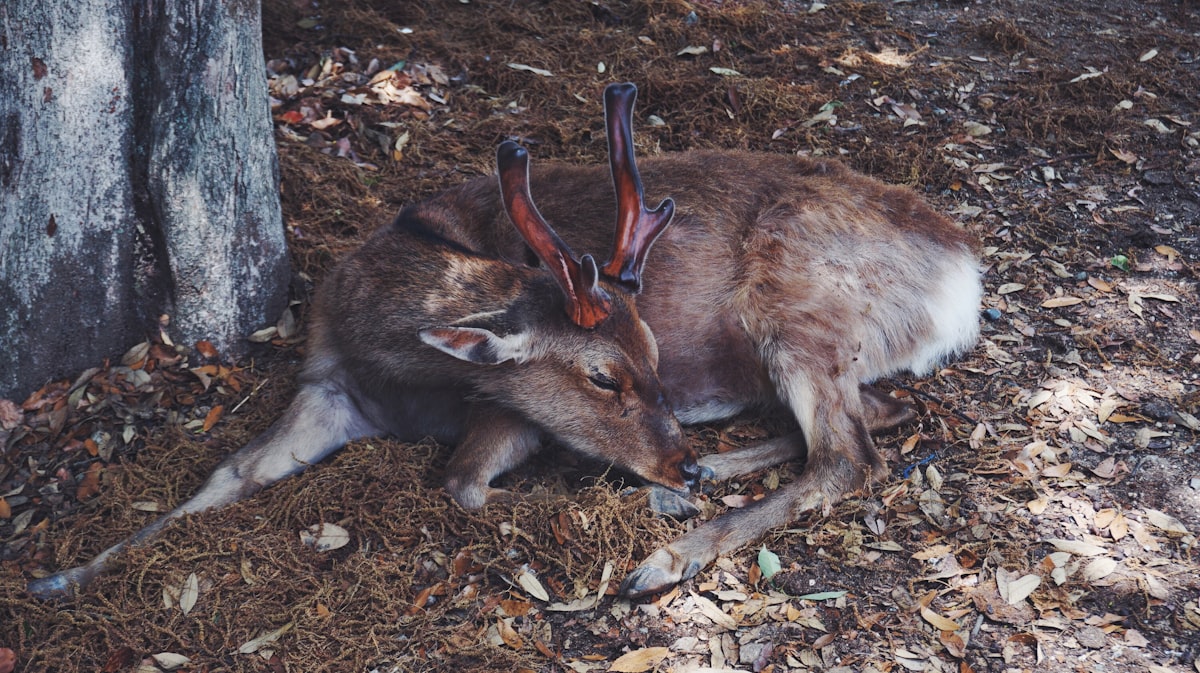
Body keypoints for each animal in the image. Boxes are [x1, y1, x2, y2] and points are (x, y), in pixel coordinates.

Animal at [28, 82, 981, 602]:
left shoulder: (506, 406)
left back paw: (667, 541)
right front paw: (57, 579)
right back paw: (703, 475)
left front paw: (620, 494)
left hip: (795, 307)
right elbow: (227, 473)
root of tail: (963, 276)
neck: (394, 358)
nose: (676, 460)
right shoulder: (326, 385)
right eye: (605, 376)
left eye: (655, 358)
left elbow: (459, 481)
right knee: (883, 412)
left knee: (850, 453)